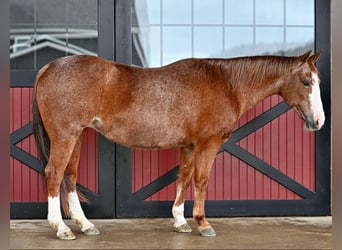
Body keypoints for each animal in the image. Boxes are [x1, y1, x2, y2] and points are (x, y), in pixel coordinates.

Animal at [33, 49, 324, 239]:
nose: (319, 121)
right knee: (54, 174)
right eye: (305, 81)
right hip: (65, 136)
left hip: (77, 135)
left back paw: (85, 225)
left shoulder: (189, 146)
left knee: (69, 177)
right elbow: (201, 180)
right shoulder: (208, 143)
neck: (227, 83)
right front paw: (203, 223)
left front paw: (180, 221)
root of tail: (48, 68)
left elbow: (183, 178)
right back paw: (61, 228)